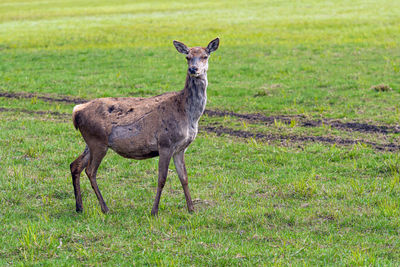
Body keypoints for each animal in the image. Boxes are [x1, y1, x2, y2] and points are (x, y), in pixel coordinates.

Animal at [69, 37, 219, 217]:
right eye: (187, 57)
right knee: (90, 170)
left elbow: (184, 177)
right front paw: (154, 211)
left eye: (205, 56)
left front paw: (191, 209)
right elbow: (162, 179)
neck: (188, 113)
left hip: (90, 142)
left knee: (75, 165)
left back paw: (79, 207)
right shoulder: (165, 143)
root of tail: (77, 111)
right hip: (97, 141)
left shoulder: (180, 148)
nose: (193, 69)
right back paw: (105, 208)